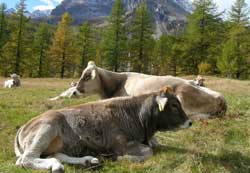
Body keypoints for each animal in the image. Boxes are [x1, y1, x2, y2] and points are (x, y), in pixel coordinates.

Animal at [15, 86, 191, 172]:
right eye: (174, 105)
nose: (189, 122)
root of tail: (24, 126)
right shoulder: (120, 144)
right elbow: (148, 152)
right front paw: (121, 159)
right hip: (47, 128)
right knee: (25, 160)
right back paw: (56, 166)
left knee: (55, 155)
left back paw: (88, 161)